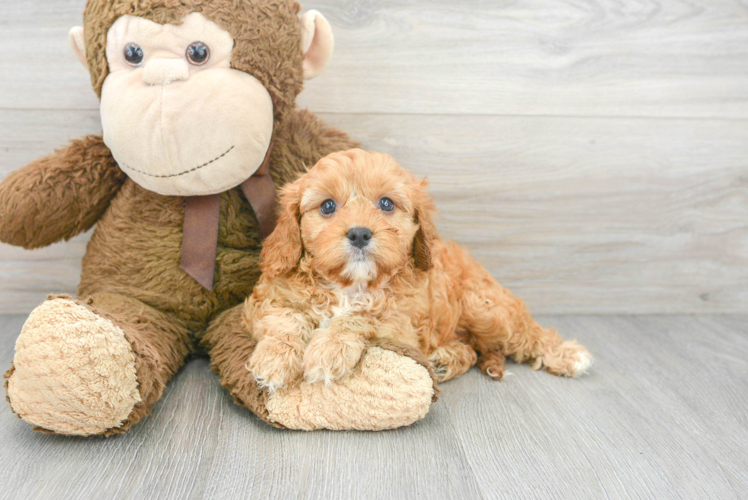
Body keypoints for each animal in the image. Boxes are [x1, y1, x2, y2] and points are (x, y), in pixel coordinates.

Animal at [245, 150, 592, 392]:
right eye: (328, 206)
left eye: (386, 203)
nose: (359, 234)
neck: (350, 284)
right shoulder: (269, 299)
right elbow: (285, 320)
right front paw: (273, 360)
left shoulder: (400, 325)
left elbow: (361, 317)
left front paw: (329, 349)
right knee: (473, 349)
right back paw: (445, 359)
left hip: (485, 308)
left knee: (525, 334)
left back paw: (568, 355)